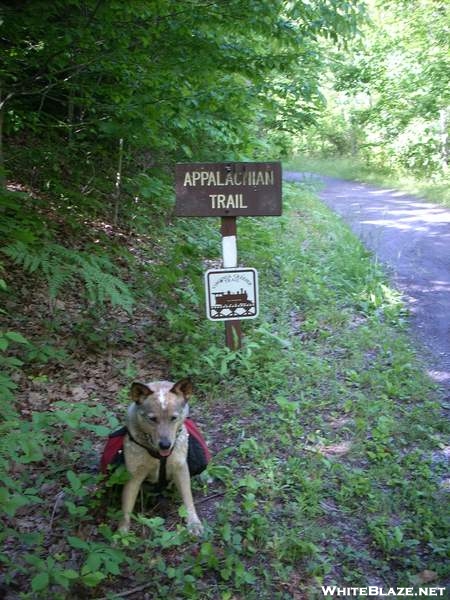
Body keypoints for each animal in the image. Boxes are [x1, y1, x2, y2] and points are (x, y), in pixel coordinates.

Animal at [118, 380, 205, 536]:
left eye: (173, 418)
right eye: (152, 419)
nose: (165, 445)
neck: (159, 455)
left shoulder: (180, 468)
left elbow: (188, 497)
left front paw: (194, 522)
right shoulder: (133, 476)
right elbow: (126, 507)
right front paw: (122, 531)